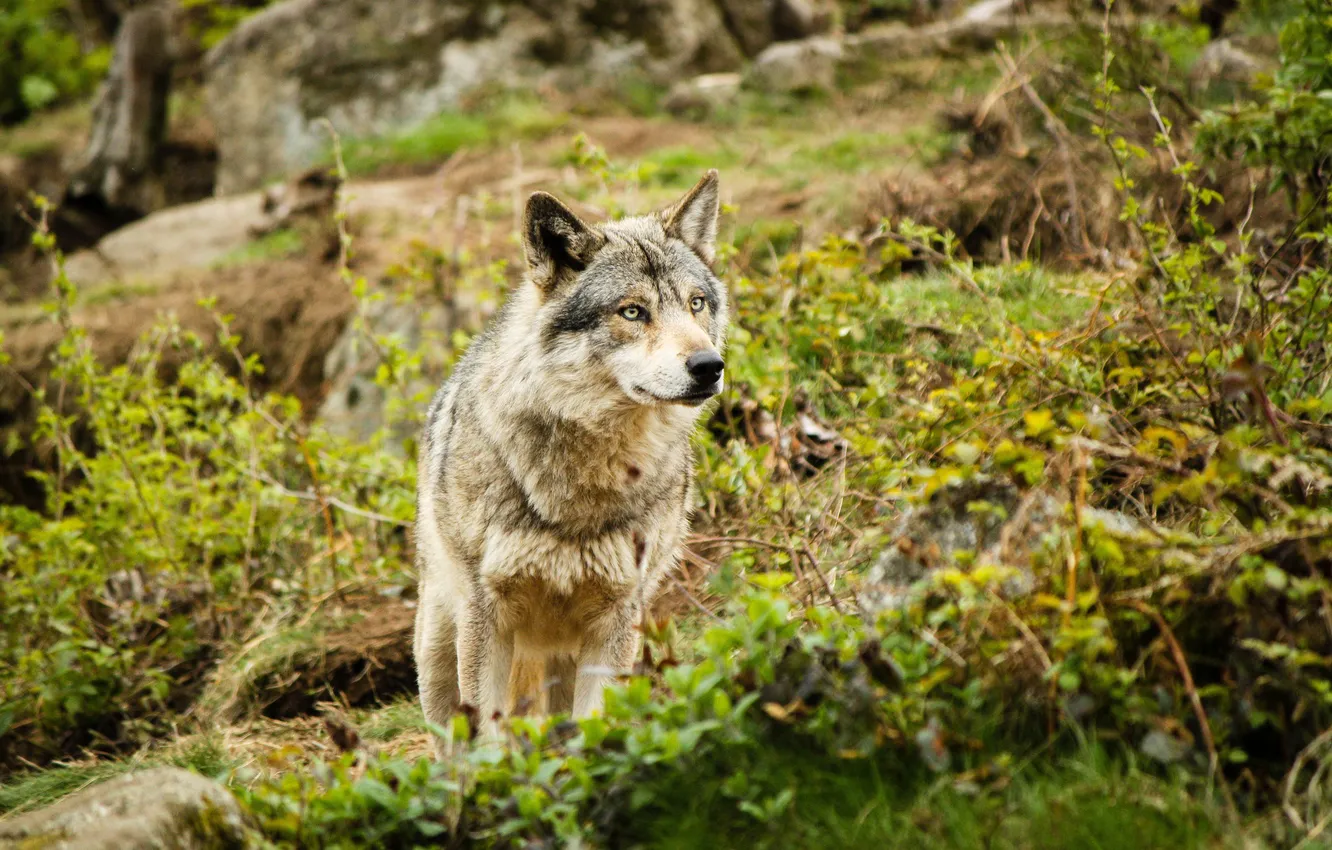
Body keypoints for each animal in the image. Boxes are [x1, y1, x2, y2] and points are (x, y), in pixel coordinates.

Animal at [415, 171, 729, 751]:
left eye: (696, 303)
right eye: (633, 312)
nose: (708, 366)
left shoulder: (617, 619)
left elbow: (596, 727)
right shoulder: (487, 616)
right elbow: (489, 738)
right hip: (438, 650)